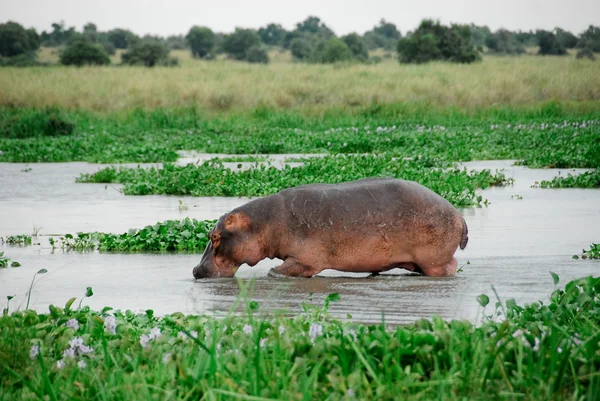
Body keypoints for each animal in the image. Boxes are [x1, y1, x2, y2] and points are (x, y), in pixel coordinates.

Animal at [193, 178, 468, 278]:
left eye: (213, 236)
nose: (195, 269)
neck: (263, 223)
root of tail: (458, 213)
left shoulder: (306, 259)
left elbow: (280, 270)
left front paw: (275, 272)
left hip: (435, 259)